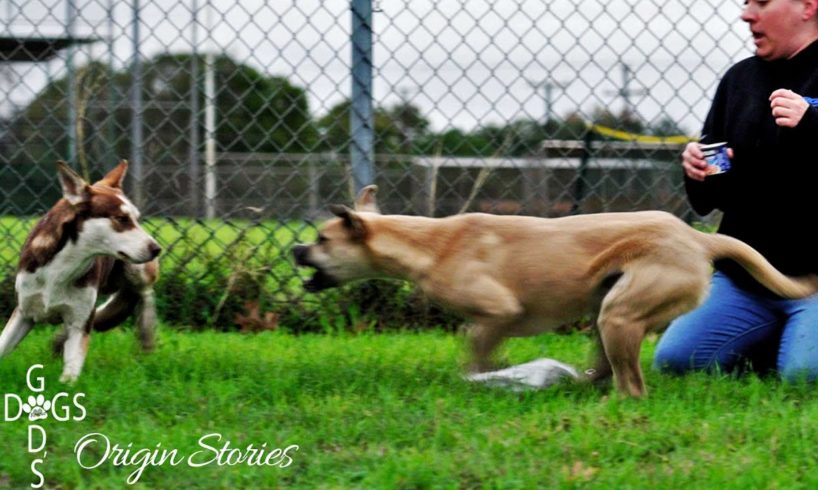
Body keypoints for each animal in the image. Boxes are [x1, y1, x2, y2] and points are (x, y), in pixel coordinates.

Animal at [0, 161, 161, 382]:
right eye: (121, 218)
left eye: (137, 219)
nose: (157, 249)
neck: (64, 265)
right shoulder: (23, 312)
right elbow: (3, 345)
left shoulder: (80, 322)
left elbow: (71, 370)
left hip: (138, 271)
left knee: (141, 293)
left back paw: (145, 334)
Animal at [294, 187, 816, 398]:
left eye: (322, 239)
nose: (296, 248)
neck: (427, 243)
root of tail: (699, 238)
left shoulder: (497, 313)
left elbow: (475, 350)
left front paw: (484, 379)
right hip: (606, 312)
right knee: (608, 370)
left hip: (619, 316)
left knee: (632, 387)